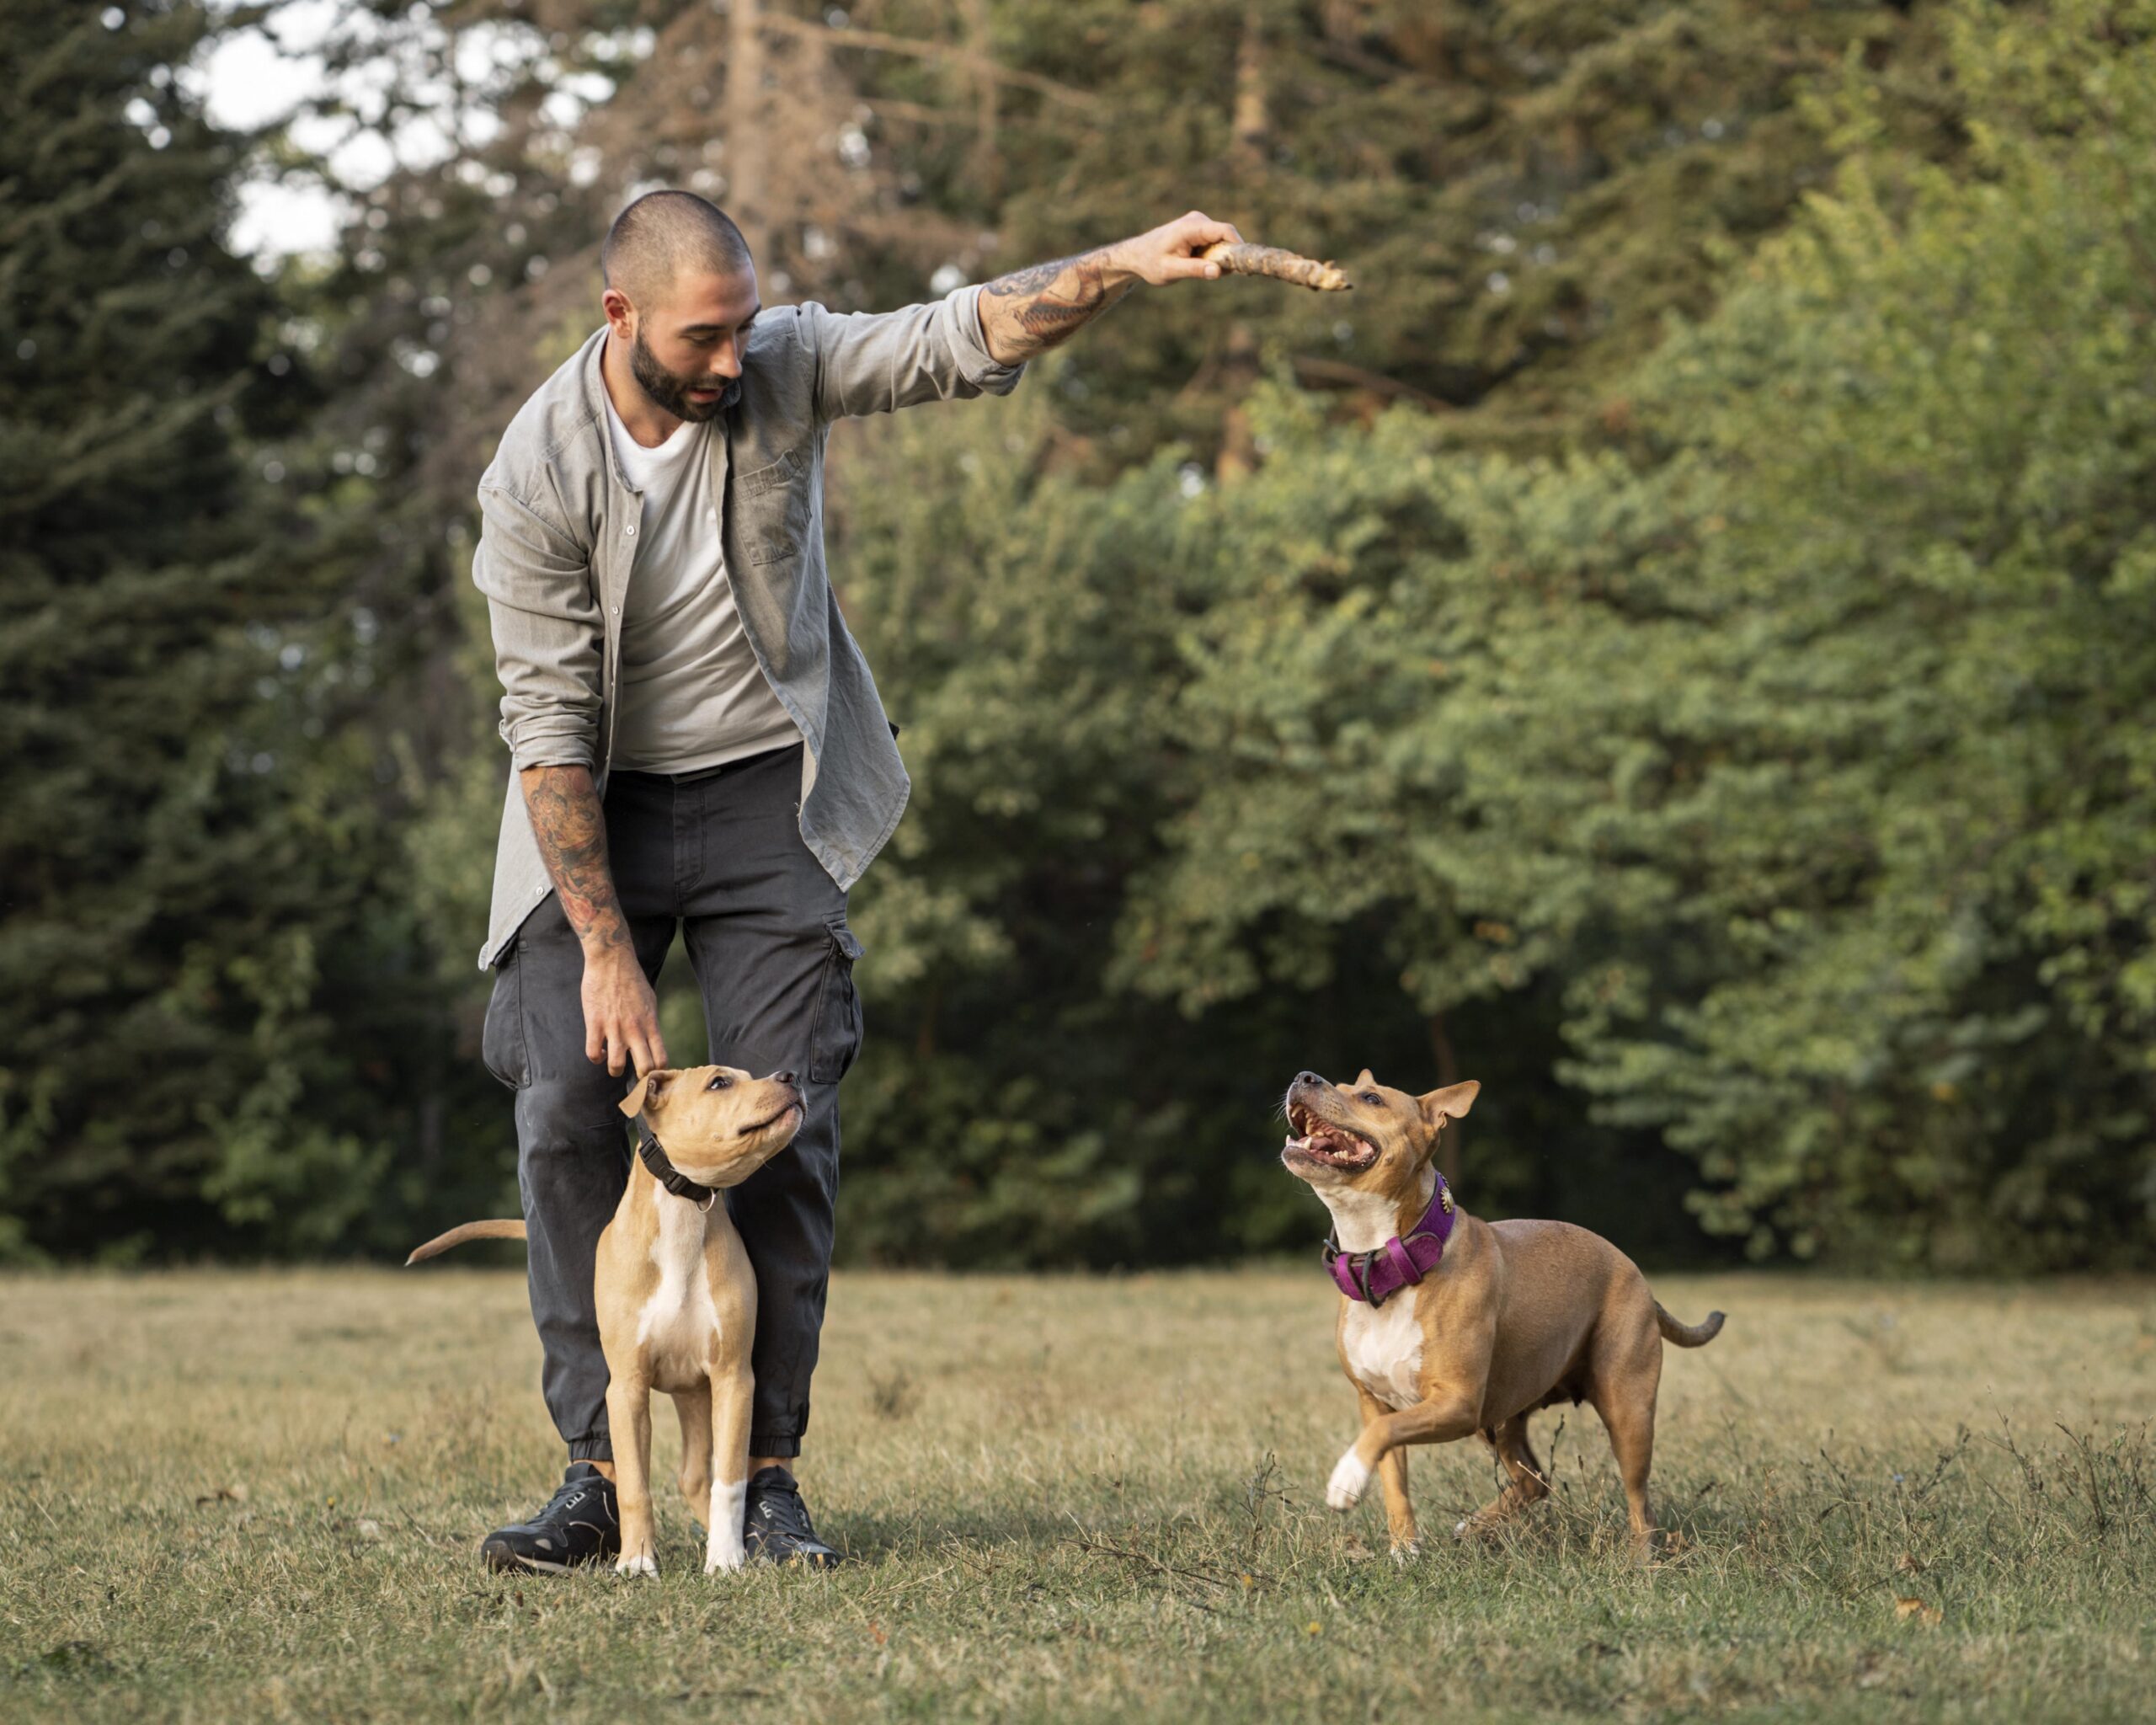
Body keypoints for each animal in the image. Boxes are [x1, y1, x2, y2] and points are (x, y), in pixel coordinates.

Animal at [407, 1056, 806, 1569]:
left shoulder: (735, 1377)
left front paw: (725, 1557)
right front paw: (636, 1561)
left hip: (700, 1393)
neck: (684, 1211)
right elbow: (634, 1483)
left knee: (699, 1477)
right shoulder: (627, 1386)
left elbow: (731, 1479)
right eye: (719, 1083)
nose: (790, 1077)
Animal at [1276, 1065, 1716, 1561]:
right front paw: (1405, 1550)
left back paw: (1639, 1558)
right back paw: (1476, 1526)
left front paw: (1346, 1479)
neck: (1386, 1260)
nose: (1305, 1076)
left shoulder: (1457, 1403)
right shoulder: (1376, 1402)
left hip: (1627, 1411)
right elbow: (1394, 1479)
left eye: (1371, 1098)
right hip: (1504, 1419)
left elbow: (1383, 1434)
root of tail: (1637, 1273)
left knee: (1639, 1497)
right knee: (1536, 1480)